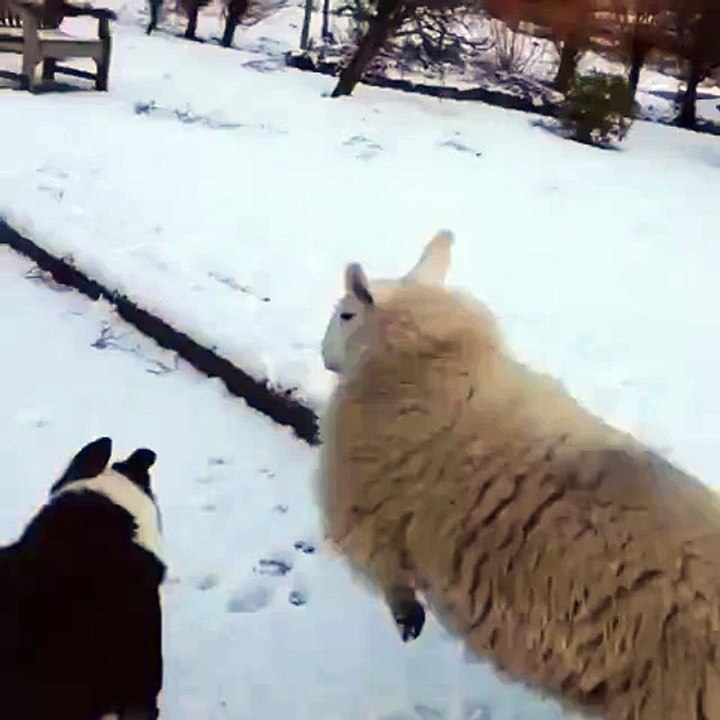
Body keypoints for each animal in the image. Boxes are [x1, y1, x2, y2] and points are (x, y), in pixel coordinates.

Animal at [316, 230, 720, 720]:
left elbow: (384, 570)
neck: (426, 361)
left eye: (346, 313)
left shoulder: (363, 509)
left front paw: (408, 618)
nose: (323, 356)